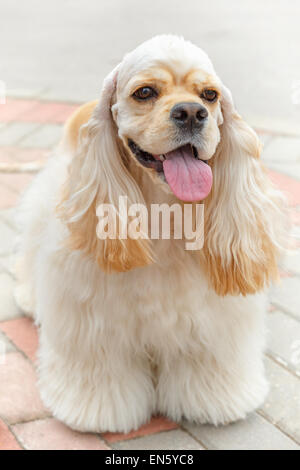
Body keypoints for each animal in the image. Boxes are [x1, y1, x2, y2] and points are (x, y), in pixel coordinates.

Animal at [14, 35, 286, 434]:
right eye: (144, 92)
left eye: (210, 95)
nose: (192, 113)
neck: (164, 211)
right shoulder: (95, 321)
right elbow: (102, 372)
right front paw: (96, 411)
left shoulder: (210, 322)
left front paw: (216, 400)